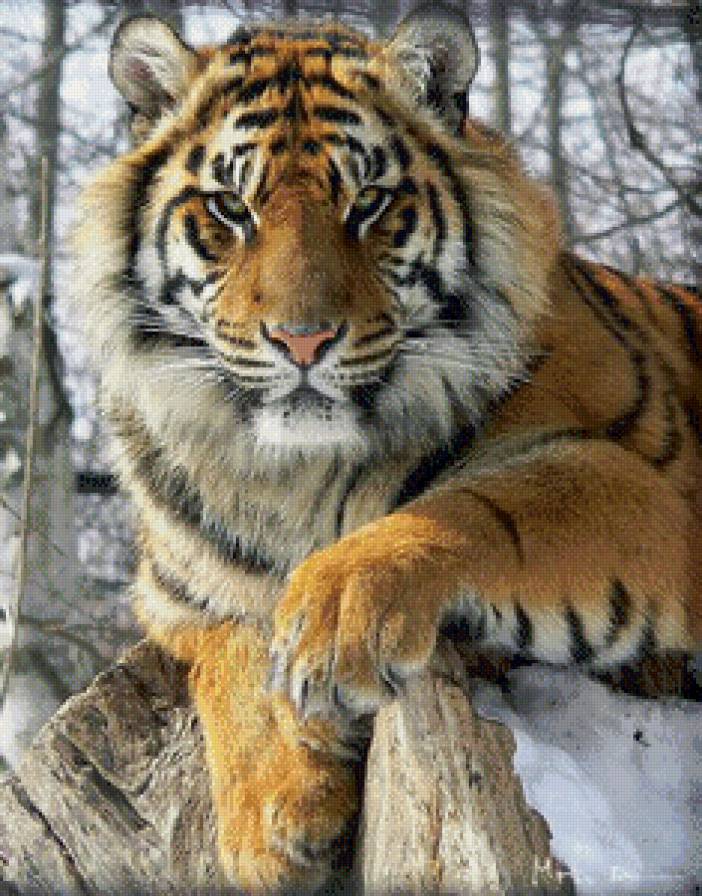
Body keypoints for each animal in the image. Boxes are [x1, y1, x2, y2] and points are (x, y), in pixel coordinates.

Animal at [72, 2, 702, 892]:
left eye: (366, 203)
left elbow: (475, 507)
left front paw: (337, 619)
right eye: (232, 209)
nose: (302, 340)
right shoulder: (176, 597)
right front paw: (276, 818)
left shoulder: (650, 484)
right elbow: (227, 656)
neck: (296, 475)